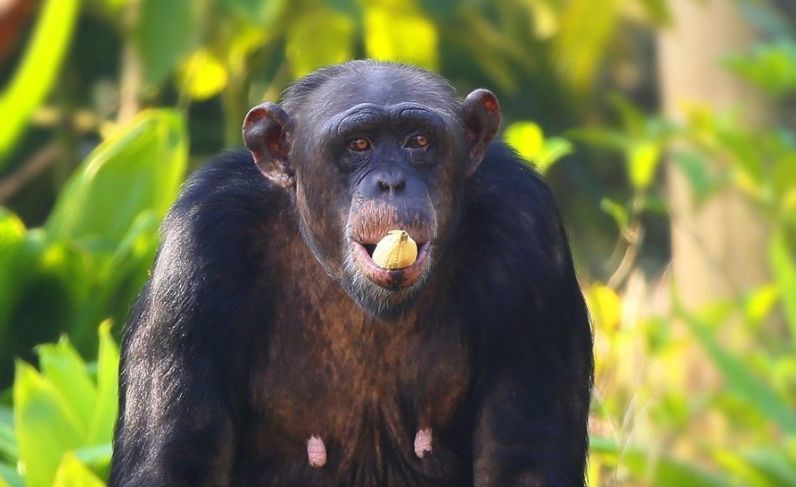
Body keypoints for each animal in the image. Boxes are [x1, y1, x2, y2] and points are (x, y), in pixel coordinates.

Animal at [107, 62, 592, 487]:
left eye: (419, 140)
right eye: (358, 145)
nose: (391, 182)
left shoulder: (529, 235)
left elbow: (523, 453)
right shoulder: (196, 255)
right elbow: (175, 458)